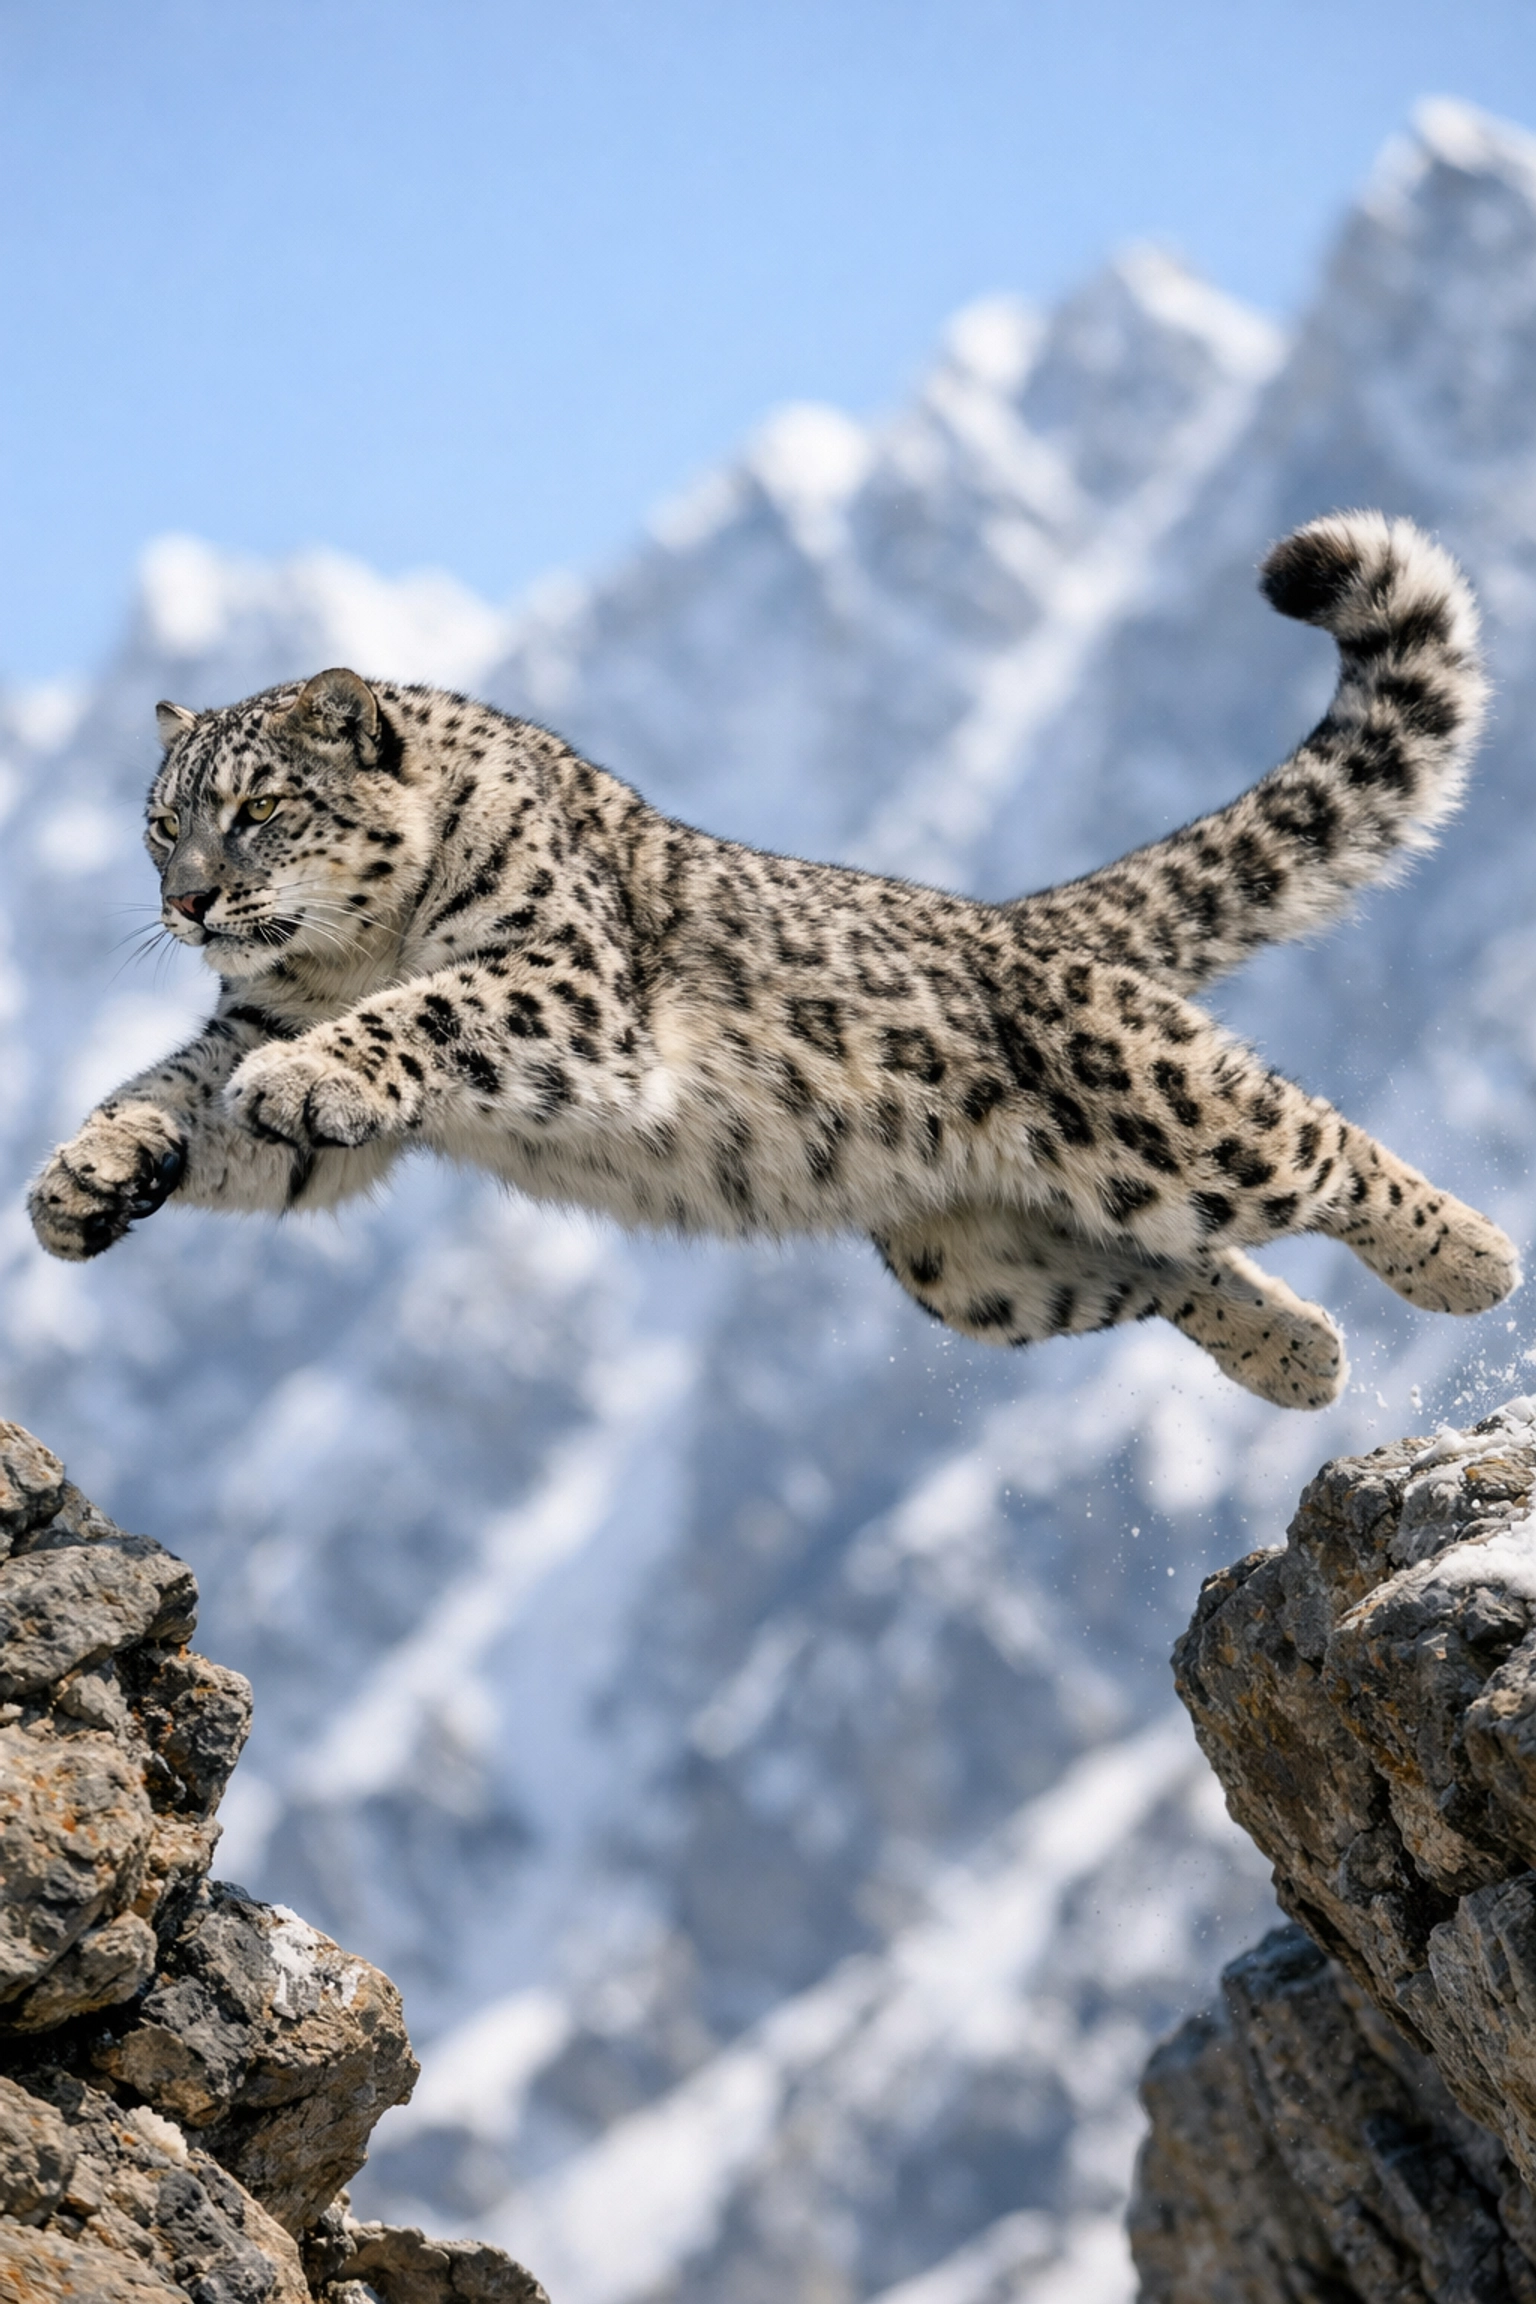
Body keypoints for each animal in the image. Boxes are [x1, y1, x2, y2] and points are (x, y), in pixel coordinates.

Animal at [28, 511, 1520, 1409]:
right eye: (159, 822)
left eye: (260, 809)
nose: (189, 903)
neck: (343, 960)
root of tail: (1022, 926)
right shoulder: (256, 1023)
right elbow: (173, 1088)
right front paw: (81, 1180)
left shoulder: (562, 982)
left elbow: (427, 1011)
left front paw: (302, 1078)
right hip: (983, 1268)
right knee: (1170, 1262)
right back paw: (1304, 1359)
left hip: (1163, 1113)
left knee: (1313, 1141)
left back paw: (1474, 1261)